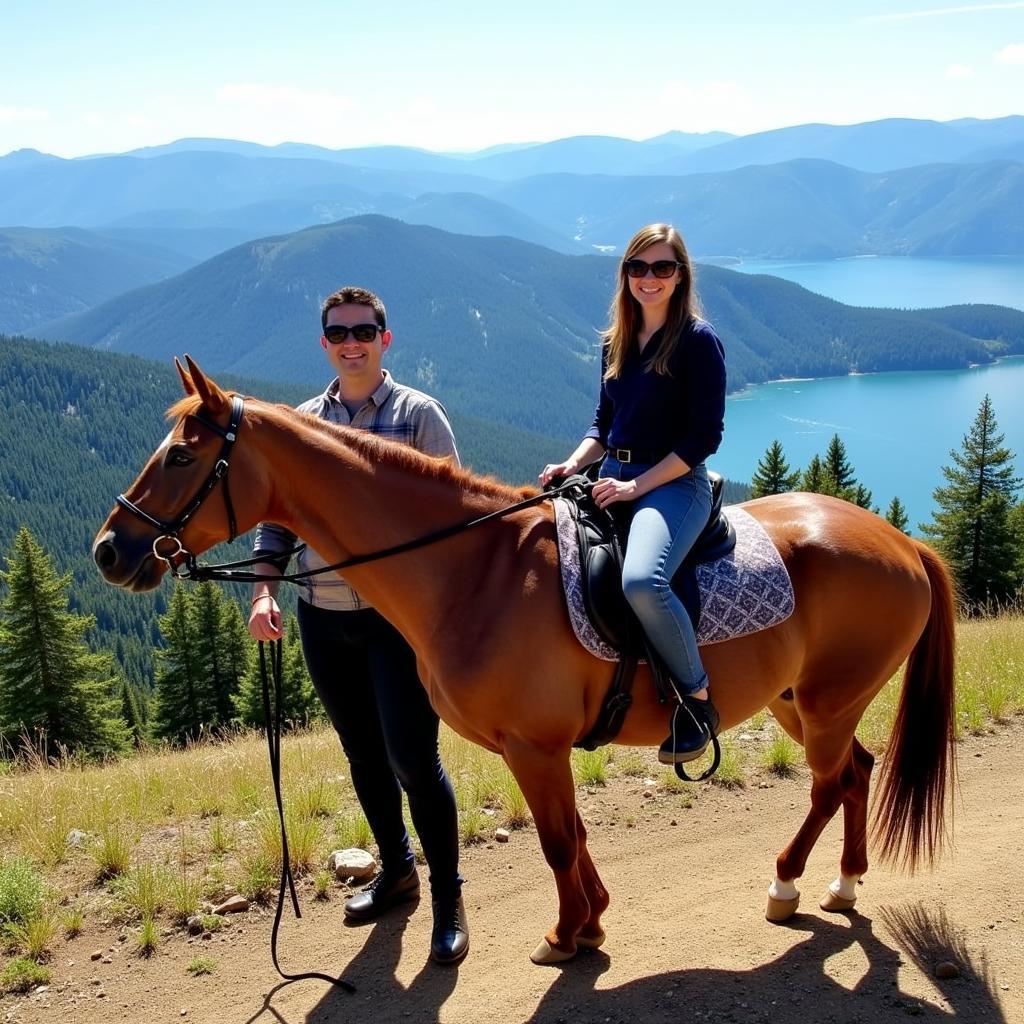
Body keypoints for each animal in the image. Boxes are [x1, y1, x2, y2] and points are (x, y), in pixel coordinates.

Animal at [92, 360, 954, 966]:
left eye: (180, 457)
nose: (109, 549)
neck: (474, 571)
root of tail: (902, 543)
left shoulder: (535, 747)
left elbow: (557, 841)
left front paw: (568, 935)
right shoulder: (540, 749)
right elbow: (571, 833)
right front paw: (594, 918)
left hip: (828, 702)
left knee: (829, 783)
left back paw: (786, 881)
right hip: (796, 699)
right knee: (856, 773)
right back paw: (841, 882)